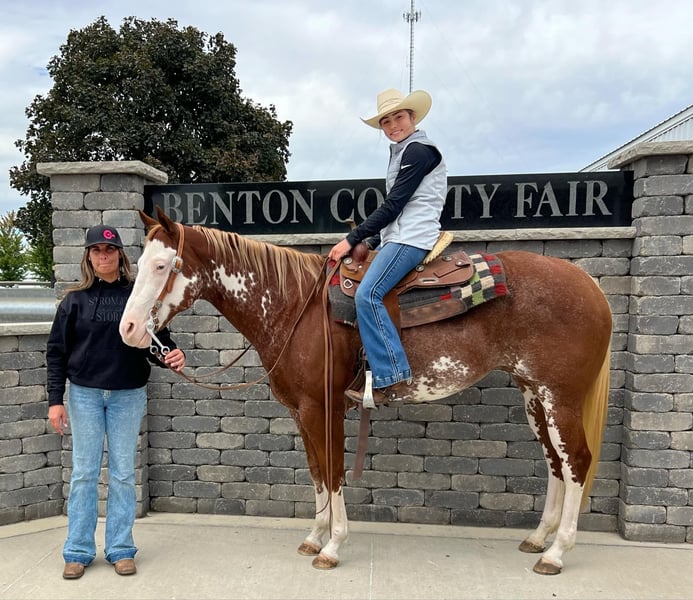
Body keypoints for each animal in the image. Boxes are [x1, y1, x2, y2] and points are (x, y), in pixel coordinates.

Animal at [119, 207, 612, 575]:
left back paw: (557, 553)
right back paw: (538, 538)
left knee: (576, 462)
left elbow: (334, 471)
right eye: (137, 264)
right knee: (554, 463)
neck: (294, 306)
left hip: (560, 397)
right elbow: (317, 471)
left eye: (161, 266)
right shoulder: (302, 410)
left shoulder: (324, 406)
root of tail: (590, 285)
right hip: (534, 395)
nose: (128, 330)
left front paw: (332, 546)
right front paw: (313, 537)